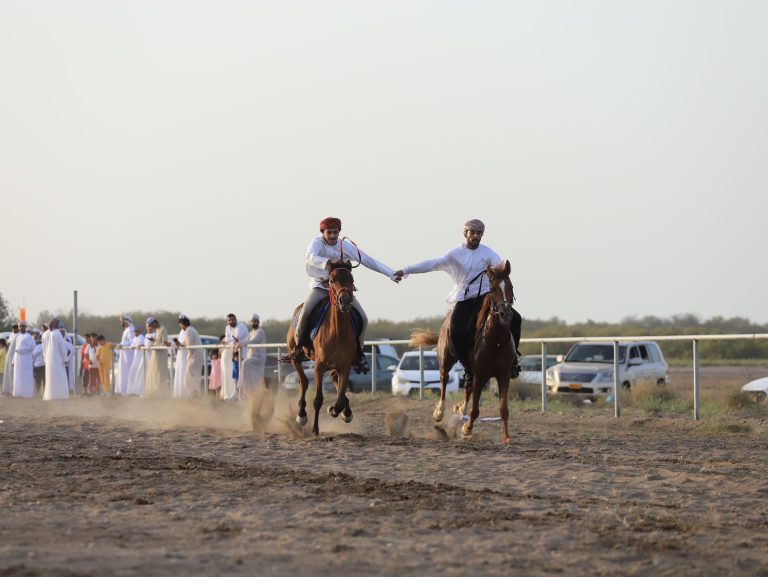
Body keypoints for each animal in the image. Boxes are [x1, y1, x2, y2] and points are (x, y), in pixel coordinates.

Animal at [286, 261, 359, 436]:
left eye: (351, 279)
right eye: (331, 280)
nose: (344, 301)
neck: (338, 331)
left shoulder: (345, 365)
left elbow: (340, 396)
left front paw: (339, 411)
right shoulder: (319, 365)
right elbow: (318, 399)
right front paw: (315, 428)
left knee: (335, 382)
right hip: (295, 357)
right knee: (304, 382)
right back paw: (301, 416)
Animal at [410, 260, 517, 443]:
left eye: (510, 286)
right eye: (493, 288)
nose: (505, 314)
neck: (495, 340)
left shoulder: (503, 375)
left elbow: (503, 408)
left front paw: (507, 437)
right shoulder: (480, 375)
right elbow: (475, 409)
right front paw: (466, 429)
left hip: (470, 370)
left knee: (466, 388)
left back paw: (460, 410)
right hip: (446, 359)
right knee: (444, 379)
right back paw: (439, 413)